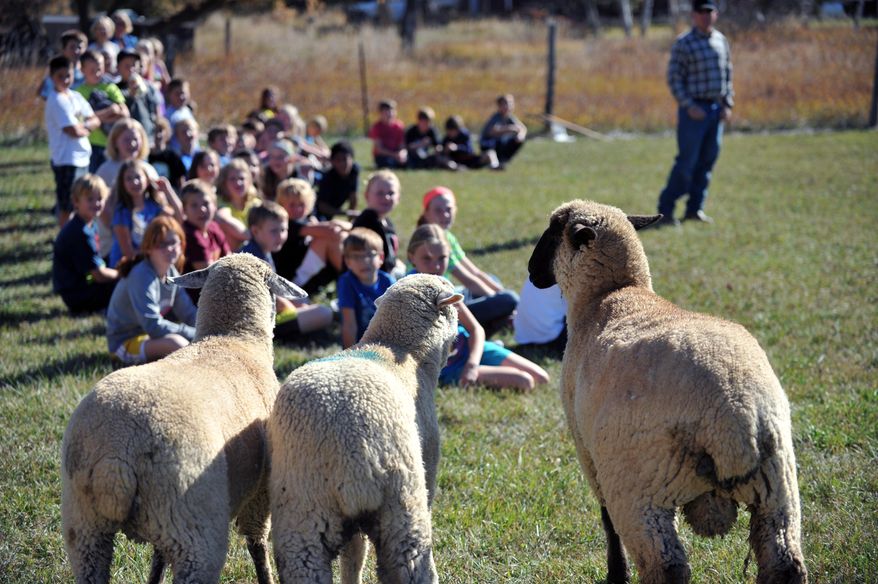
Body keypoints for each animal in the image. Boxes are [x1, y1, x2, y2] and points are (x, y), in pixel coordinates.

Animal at [61, 253, 307, 584]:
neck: (231, 339)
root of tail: (117, 453)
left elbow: (157, 560)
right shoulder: (261, 490)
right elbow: (257, 545)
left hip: (86, 526)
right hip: (193, 527)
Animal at [268, 274, 463, 584]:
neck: (397, 348)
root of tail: (352, 458)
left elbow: (353, 555)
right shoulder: (429, 455)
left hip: (302, 514)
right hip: (401, 507)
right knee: (413, 566)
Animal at [528, 200, 807, 584]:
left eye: (553, 231)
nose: (530, 273)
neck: (611, 295)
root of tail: (736, 413)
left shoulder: (588, 451)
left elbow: (606, 520)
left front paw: (616, 575)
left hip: (639, 491)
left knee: (666, 566)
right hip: (778, 489)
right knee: (784, 560)